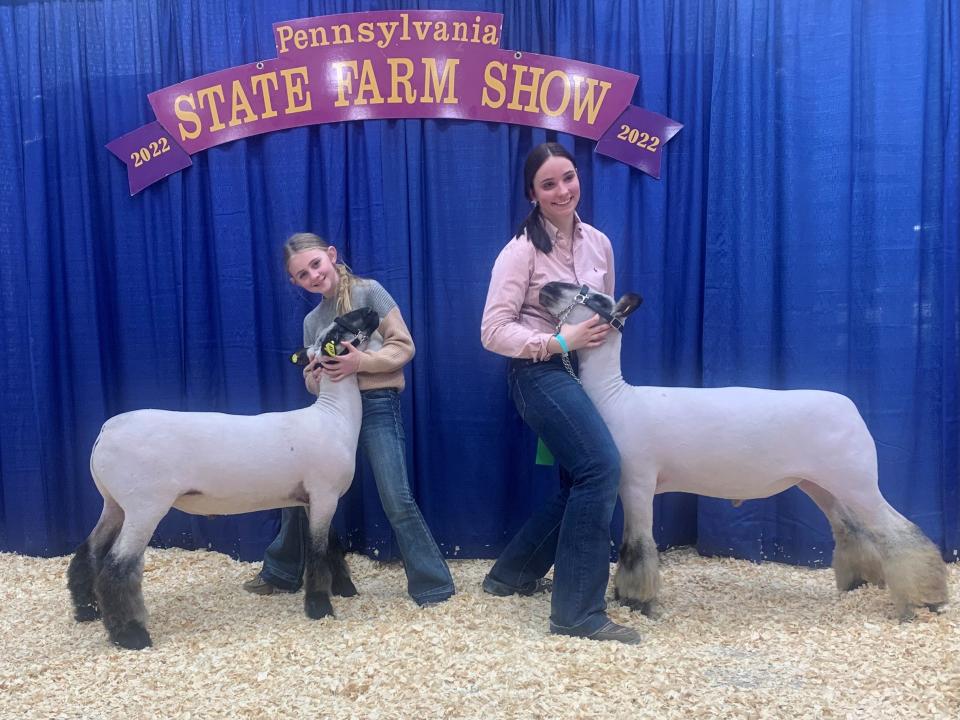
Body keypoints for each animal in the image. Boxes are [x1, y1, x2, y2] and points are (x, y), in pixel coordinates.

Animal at [67, 306, 378, 648]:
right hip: (144, 506)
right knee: (117, 566)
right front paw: (320, 606)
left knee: (88, 551)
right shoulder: (324, 494)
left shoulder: (316, 498)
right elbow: (319, 551)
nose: (371, 311)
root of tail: (107, 430)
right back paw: (131, 634)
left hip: (114, 503)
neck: (334, 416)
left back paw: (87, 610)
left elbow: (332, 545)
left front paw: (345, 589)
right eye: (339, 330)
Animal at [536, 284, 948, 620]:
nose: (546, 288)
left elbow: (637, 546)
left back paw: (925, 601)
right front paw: (627, 598)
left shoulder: (638, 482)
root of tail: (851, 410)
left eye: (594, 298)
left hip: (857, 479)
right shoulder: (629, 485)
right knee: (851, 528)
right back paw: (857, 585)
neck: (615, 398)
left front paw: (640, 603)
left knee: (901, 531)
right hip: (820, 483)